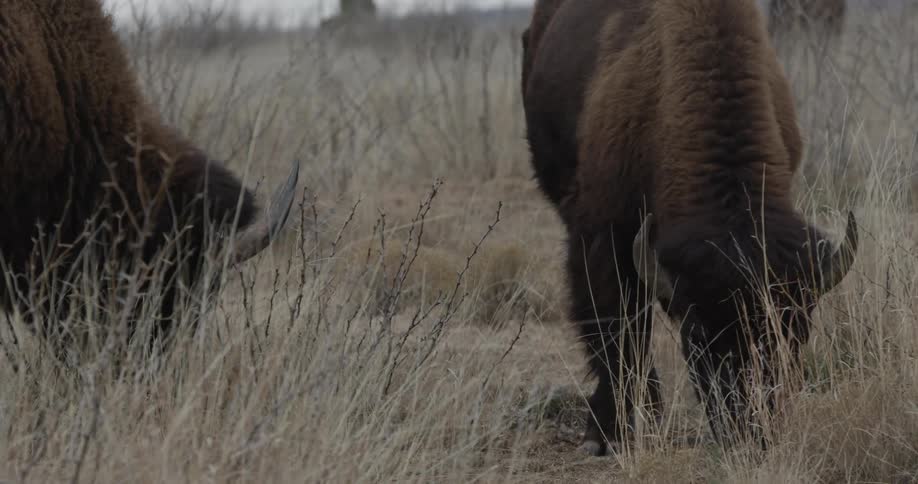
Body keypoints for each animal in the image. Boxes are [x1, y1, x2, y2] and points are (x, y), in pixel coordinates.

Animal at [522, 0, 858, 455]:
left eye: (796, 331)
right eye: (698, 339)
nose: (750, 431)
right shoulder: (602, 237)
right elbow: (618, 329)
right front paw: (607, 433)